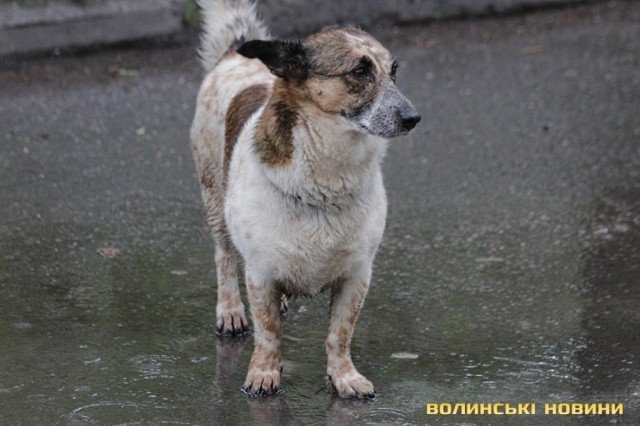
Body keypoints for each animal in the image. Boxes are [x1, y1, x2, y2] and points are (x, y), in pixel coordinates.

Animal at [190, 0, 420, 399]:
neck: (327, 180)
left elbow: (340, 334)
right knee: (224, 256)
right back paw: (230, 310)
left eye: (393, 72)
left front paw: (344, 377)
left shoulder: (357, 276)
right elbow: (268, 333)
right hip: (213, 194)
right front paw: (264, 374)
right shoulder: (260, 274)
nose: (413, 117)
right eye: (360, 71)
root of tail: (233, 54)